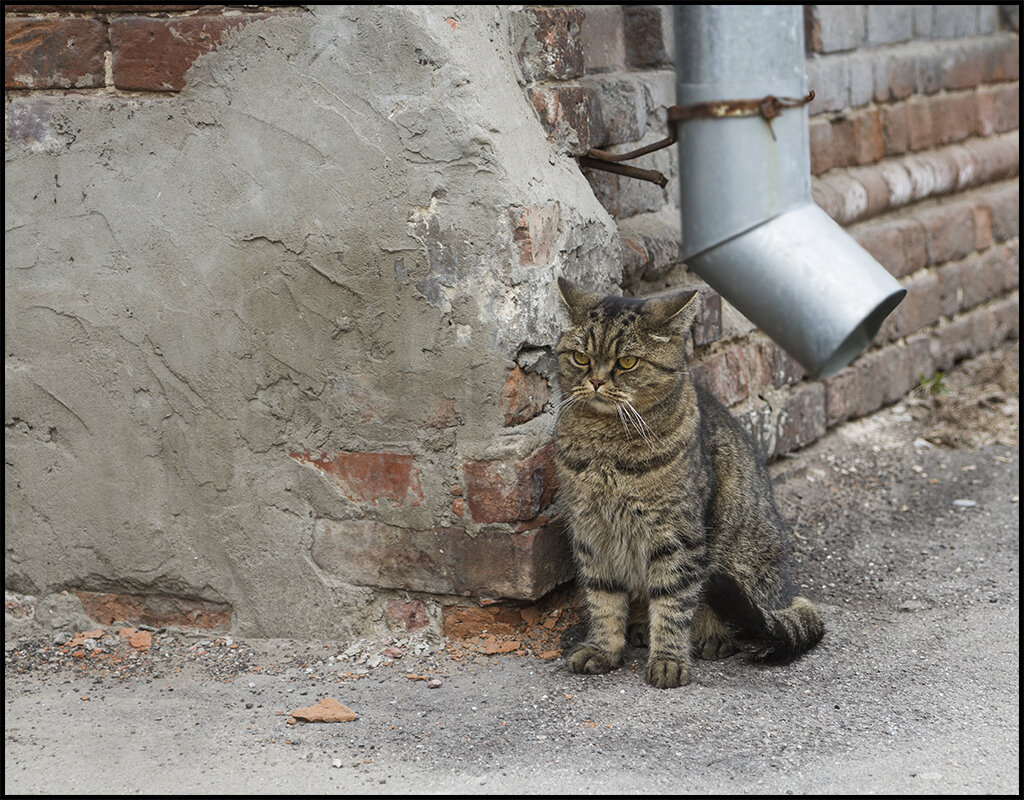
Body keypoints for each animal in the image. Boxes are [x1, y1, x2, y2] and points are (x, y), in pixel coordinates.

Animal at [552, 276, 823, 688]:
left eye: (627, 362)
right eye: (580, 358)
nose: (595, 381)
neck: (605, 445)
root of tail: (786, 594)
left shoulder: (677, 536)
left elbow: (673, 603)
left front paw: (668, 661)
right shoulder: (590, 533)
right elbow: (603, 599)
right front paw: (602, 649)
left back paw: (712, 637)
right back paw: (639, 628)